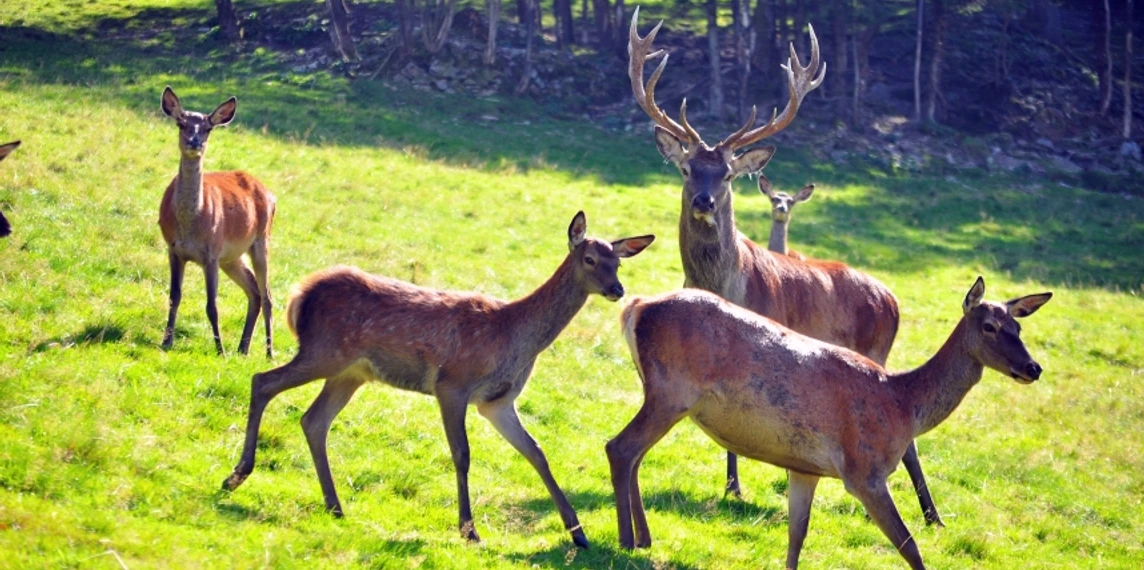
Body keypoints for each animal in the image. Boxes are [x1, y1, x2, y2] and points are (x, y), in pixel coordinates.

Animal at [158, 87, 276, 357]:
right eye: (181, 123)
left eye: (207, 128)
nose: (195, 142)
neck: (190, 225)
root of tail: (270, 193)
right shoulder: (173, 249)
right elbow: (174, 296)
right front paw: (166, 342)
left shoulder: (211, 252)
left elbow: (212, 305)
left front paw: (220, 349)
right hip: (232, 257)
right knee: (254, 291)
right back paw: (243, 348)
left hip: (261, 240)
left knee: (267, 294)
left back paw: (268, 352)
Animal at [221, 211, 654, 549]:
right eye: (590, 258)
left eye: (618, 262)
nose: (618, 289)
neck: (513, 337)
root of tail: (300, 295)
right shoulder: (452, 384)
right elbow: (462, 454)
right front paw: (469, 529)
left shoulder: (497, 402)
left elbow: (536, 452)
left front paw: (578, 533)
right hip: (324, 351)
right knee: (263, 381)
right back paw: (237, 475)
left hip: (350, 373)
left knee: (313, 420)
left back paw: (335, 505)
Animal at [608, 277, 1052, 568]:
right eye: (990, 326)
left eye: (1019, 326)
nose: (1033, 368)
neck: (904, 403)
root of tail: (636, 307)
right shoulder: (863, 472)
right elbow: (910, 546)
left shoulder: (806, 468)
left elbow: (796, 536)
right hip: (672, 392)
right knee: (620, 448)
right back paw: (627, 540)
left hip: (663, 396)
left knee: (633, 454)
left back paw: (643, 538)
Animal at [627, 9, 943, 526]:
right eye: (686, 169)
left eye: (728, 174)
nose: (703, 201)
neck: (725, 283)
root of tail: (893, 298)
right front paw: (731, 485)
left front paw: (736, 485)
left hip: (878, 348)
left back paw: (932, 513)